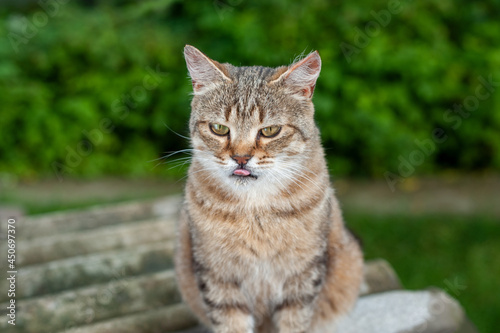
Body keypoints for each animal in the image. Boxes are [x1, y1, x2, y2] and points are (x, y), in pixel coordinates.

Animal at [174, 44, 362, 332]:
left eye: (270, 130)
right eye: (219, 129)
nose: (240, 158)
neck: (255, 209)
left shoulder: (303, 276)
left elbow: (295, 323)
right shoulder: (218, 277)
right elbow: (231, 324)